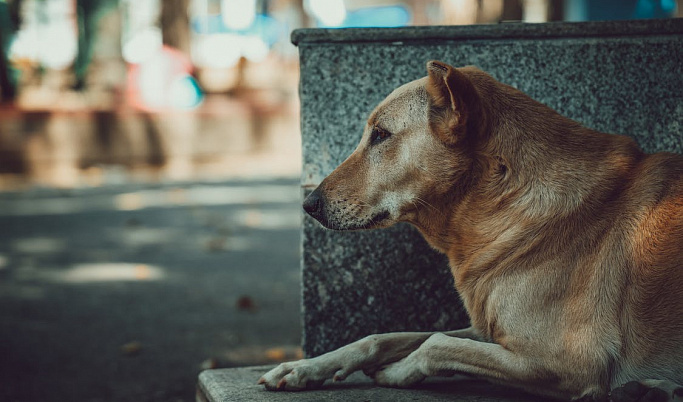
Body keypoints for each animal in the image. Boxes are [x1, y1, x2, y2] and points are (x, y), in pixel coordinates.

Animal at [258, 60, 683, 402]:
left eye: (381, 134)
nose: (308, 205)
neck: (502, 204)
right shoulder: (489, 331)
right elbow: (383, 337)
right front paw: (304, 368)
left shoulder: (572, 362)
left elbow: (435, 343)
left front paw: (398, 371)